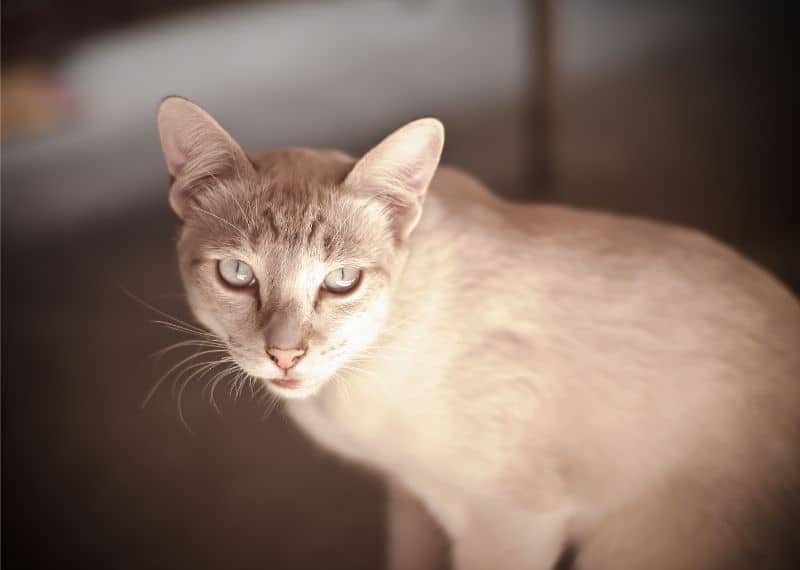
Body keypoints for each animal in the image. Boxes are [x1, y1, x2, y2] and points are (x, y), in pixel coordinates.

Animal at [156, 97, 800, 568]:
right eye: (238, 274)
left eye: (341, 280)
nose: (285, 354)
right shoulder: (411, 498)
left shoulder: (512, 523)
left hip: (629, 549)